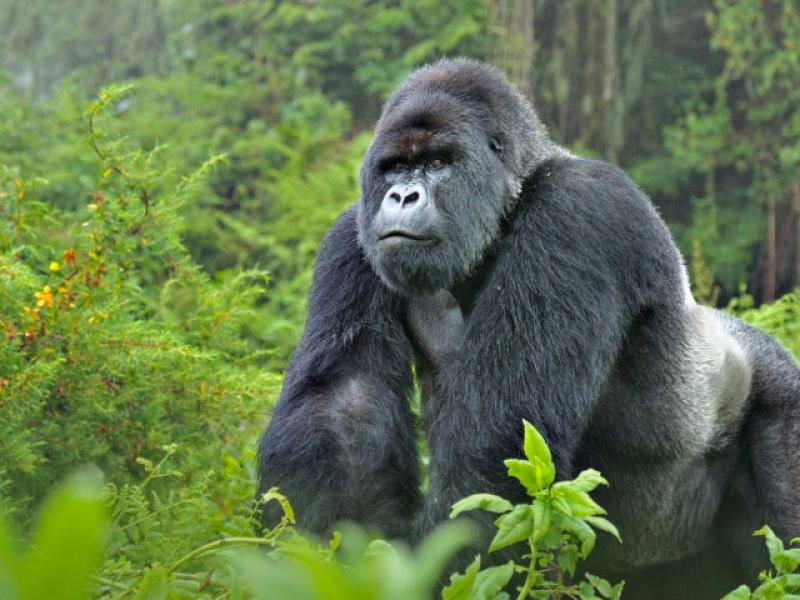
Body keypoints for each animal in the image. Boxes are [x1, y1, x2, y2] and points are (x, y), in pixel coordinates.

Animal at [258, 57, 800, 600]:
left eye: (437, 164)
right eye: (393, 167)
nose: (402, 195)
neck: (510, 201)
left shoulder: (576, 210)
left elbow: (498, 442)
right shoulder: (353, 235)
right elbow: (344, 410)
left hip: (784, 398)